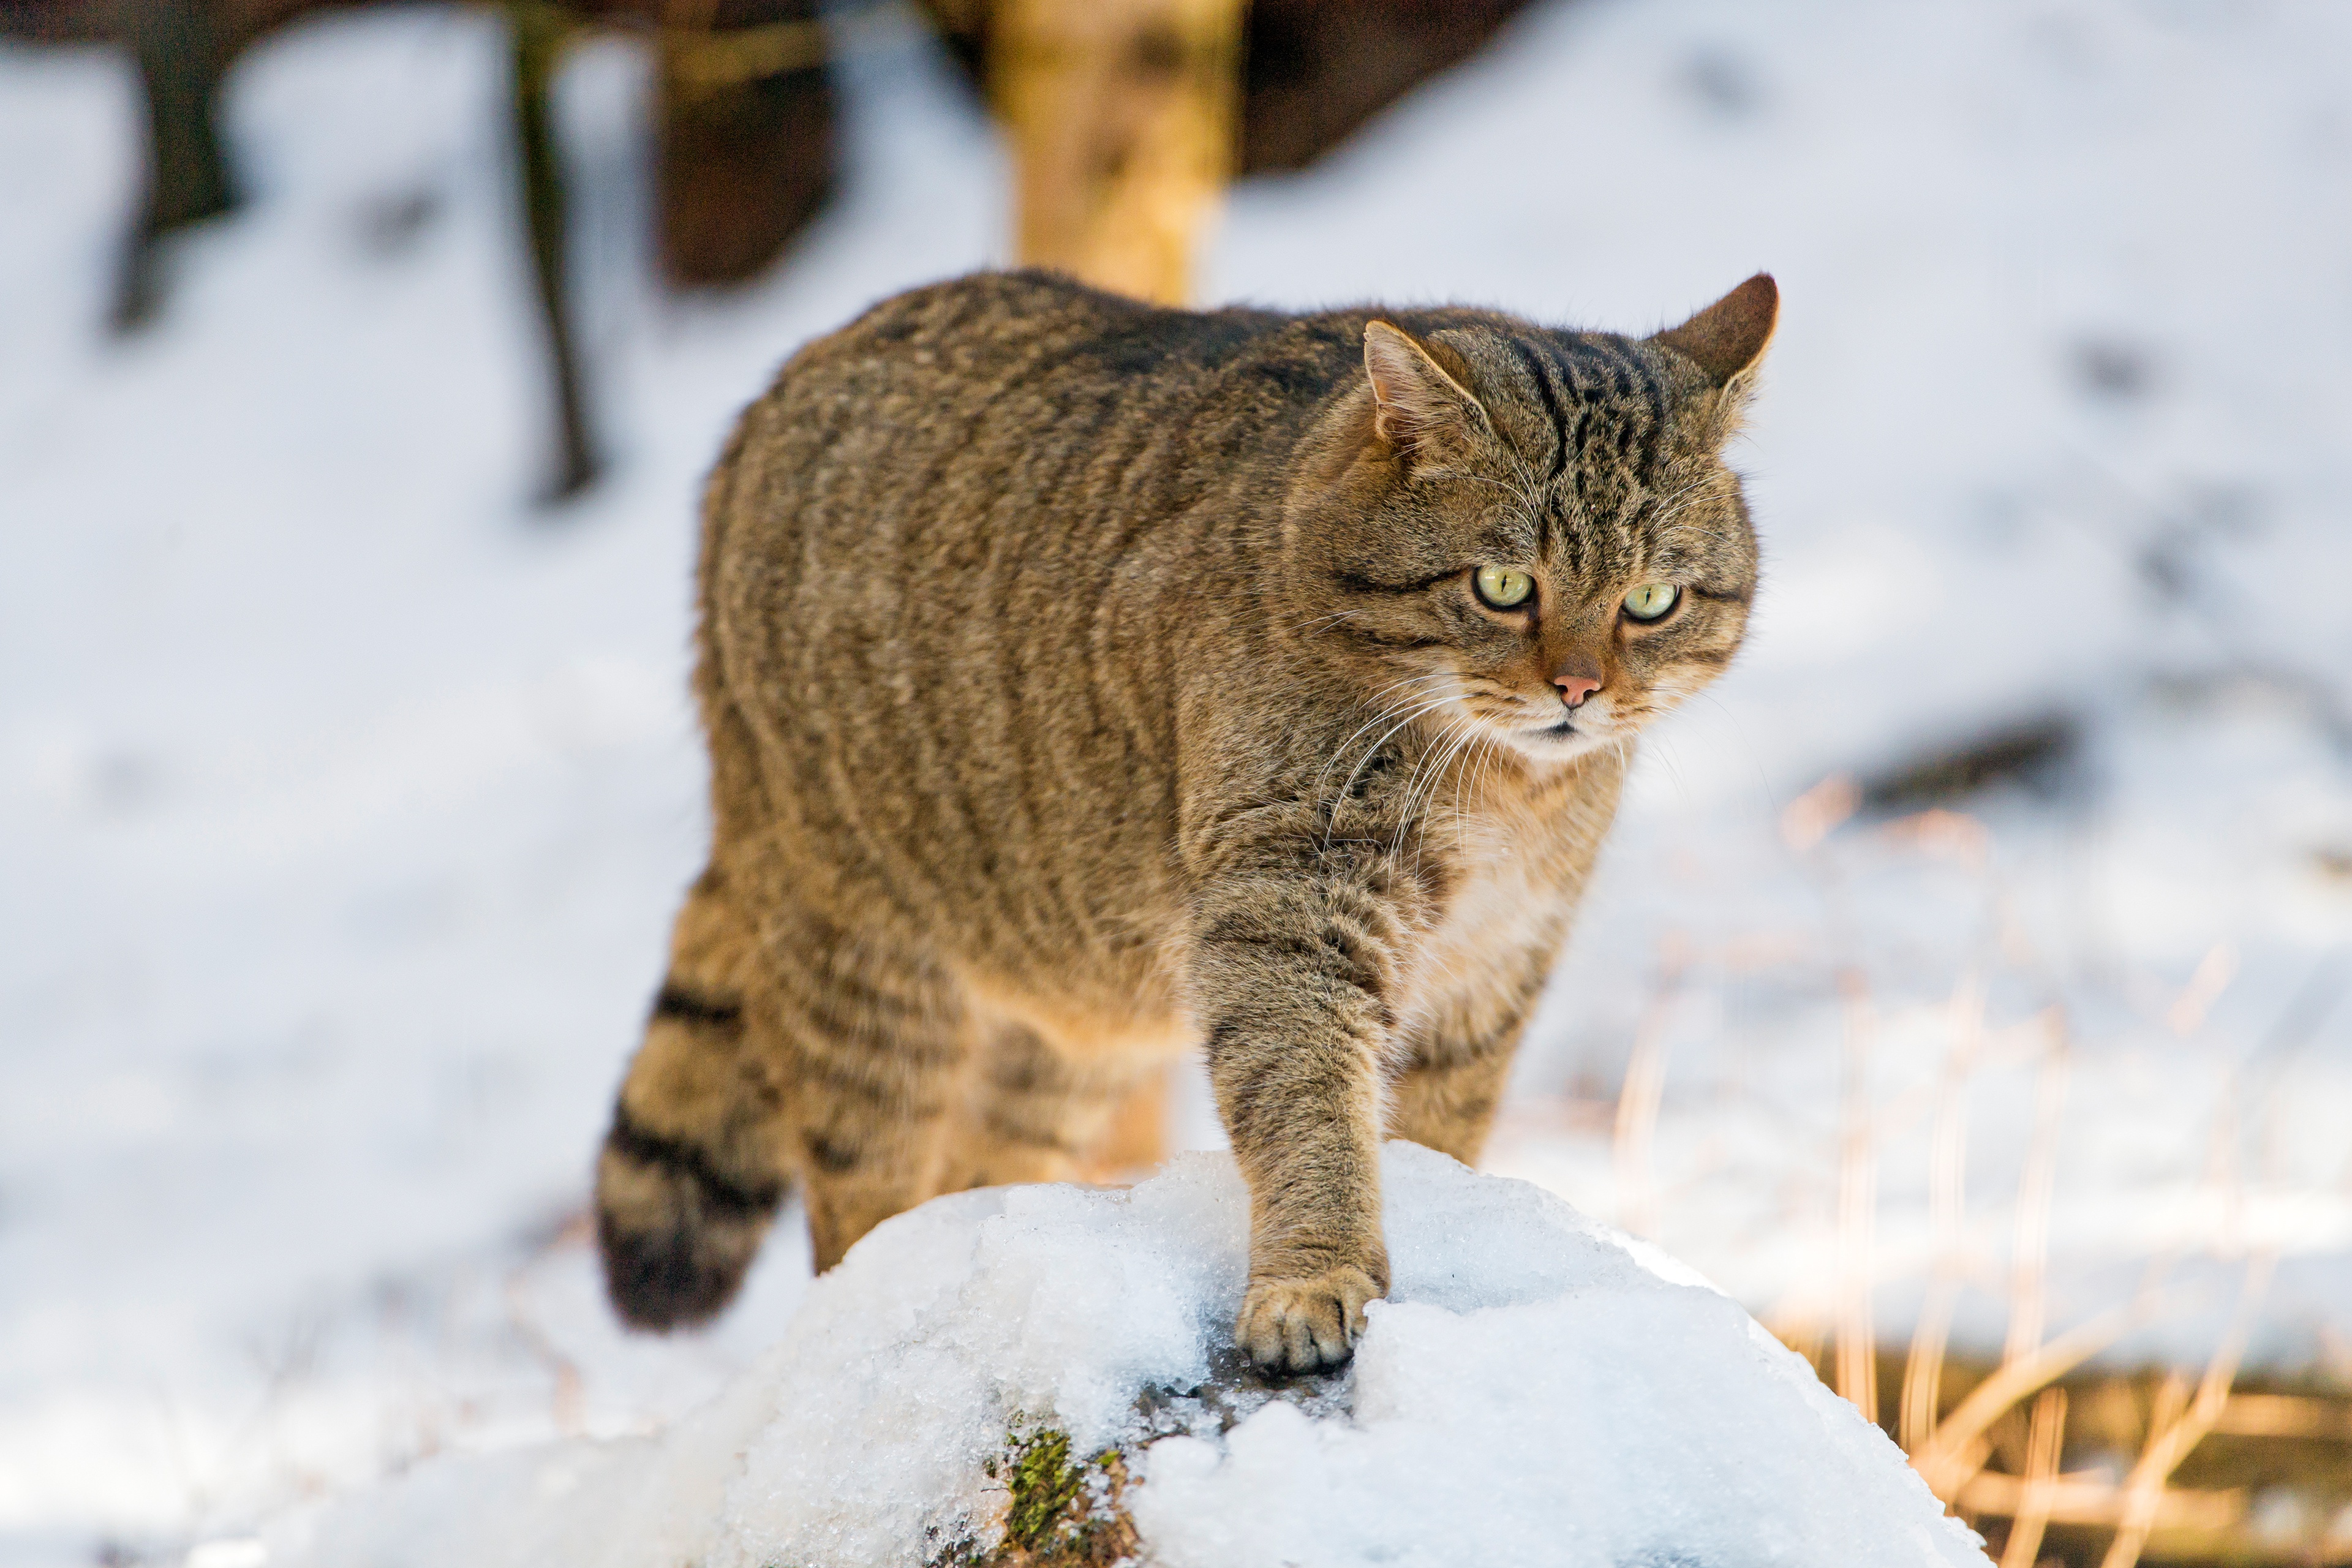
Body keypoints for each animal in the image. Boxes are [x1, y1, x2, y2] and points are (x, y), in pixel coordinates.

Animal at [597, 270, 1768, 1373]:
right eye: (1503, 585)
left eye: (1651, 602)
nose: (1578, 689)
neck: (1512, 791)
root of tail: (770, 397)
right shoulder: (1293, 901)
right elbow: (1308, 1103)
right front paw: (1315, 1273)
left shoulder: (1497, 965)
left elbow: (1437, 1134)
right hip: (865, 974)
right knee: (858, 1208)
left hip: (1065, 1014)